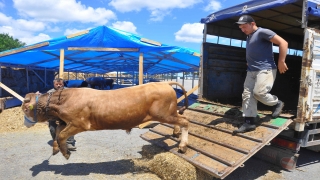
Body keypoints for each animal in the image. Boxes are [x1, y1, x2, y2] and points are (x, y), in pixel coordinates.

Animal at [21, 81, 189, 159]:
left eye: (25, 108)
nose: (24, 124)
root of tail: (164, 82)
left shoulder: (80, 123)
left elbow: (61, 135)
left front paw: (66, 153)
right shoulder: (65, 122)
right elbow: (57, 133)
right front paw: (58, 149)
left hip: (163, 114)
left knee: (185, 120)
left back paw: (183, 145)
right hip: (169, 112)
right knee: (181, 118)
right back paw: (175, 133)